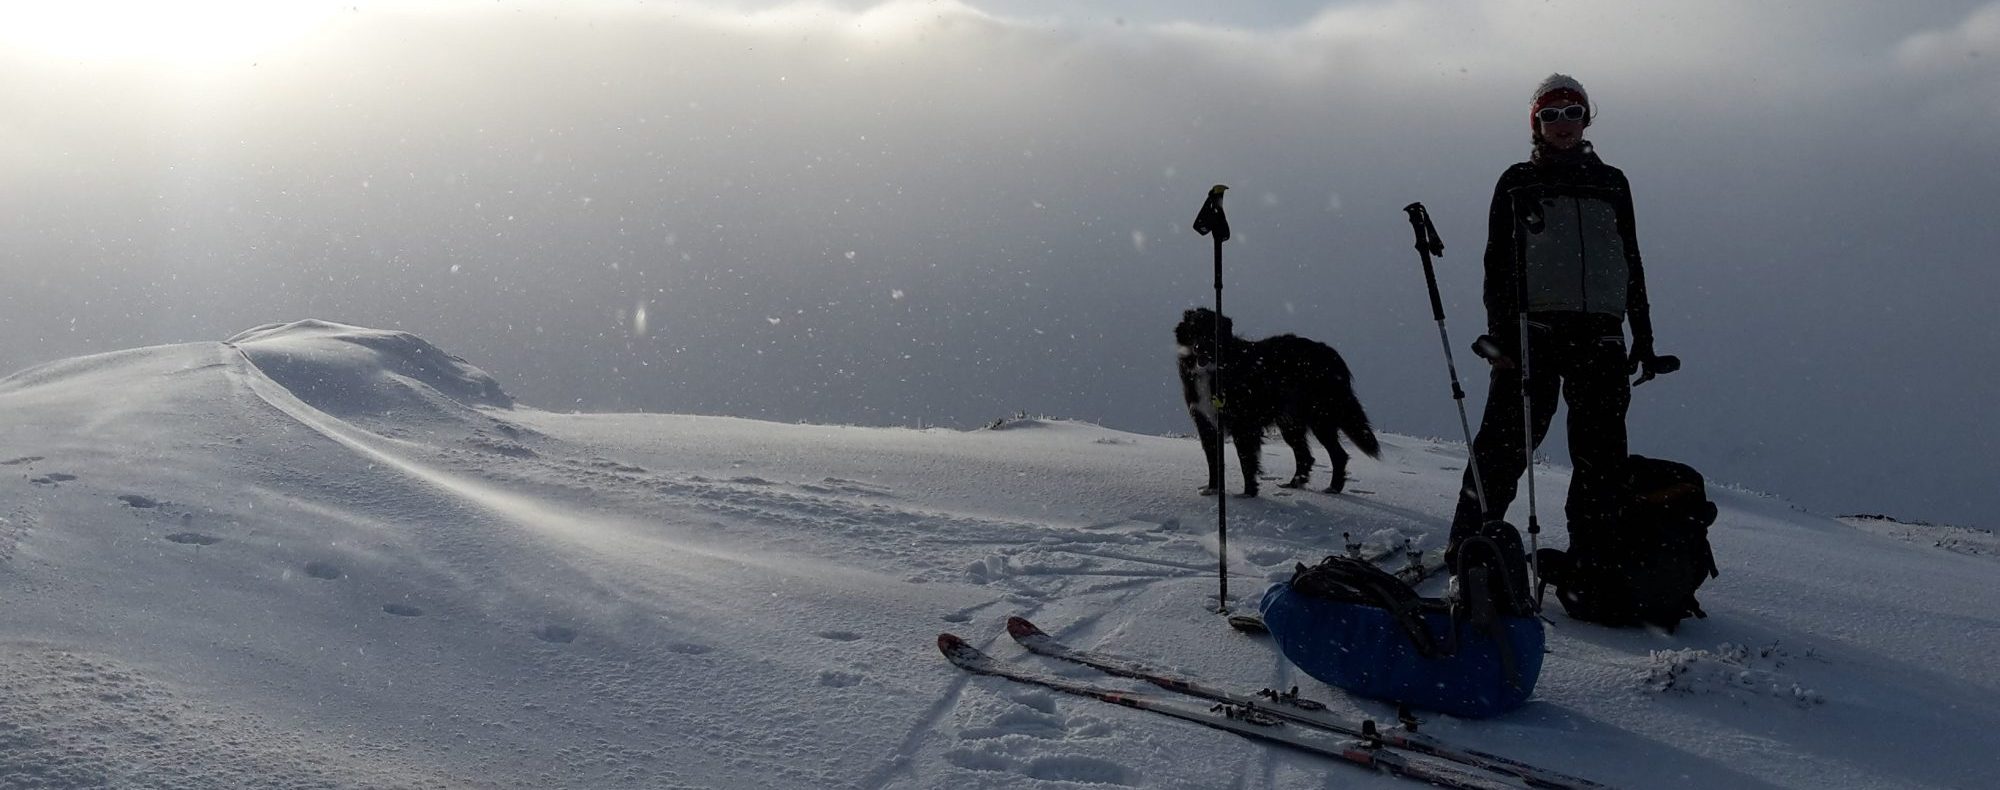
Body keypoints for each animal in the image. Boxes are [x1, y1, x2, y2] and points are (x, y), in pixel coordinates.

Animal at [1168, 308, 1376, 498]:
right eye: (1194, 329)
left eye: (1213, 330)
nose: (1199, 347)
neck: (1214, 368)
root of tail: (1330, 353)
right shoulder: (1205, 423)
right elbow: (1213, 460)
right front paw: (1212, 489)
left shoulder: (1243, 423)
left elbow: (1246, 460)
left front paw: (1248, 494)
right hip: (1290, 422)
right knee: (1305, 456)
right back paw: (1294, 484)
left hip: (1320, 416)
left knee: (1338, 454)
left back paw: (1333, 488)